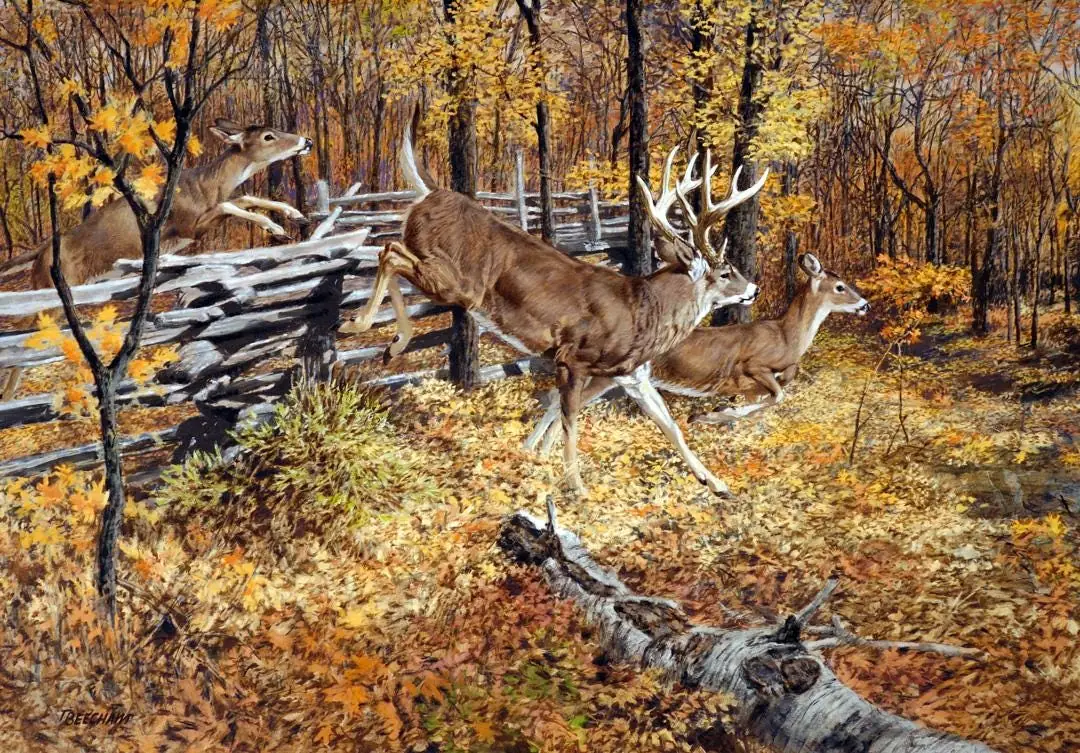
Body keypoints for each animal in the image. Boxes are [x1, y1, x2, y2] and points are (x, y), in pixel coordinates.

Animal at [0, 119, 312, 401]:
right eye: (268, 136)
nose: (306, 141)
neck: (206, 186)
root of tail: (40, 253)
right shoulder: (189, 226)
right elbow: (231, 203)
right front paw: (275, 227)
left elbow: (244, 197)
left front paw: (294, 215)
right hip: (51, 289)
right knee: (24, 336)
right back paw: (9, 395)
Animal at [341, 124, 767, 498]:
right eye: (726, 271)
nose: (754, 289)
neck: (644, 312)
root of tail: (430, 193)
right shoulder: (572, 357)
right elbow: (569, 418)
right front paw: (575, 484)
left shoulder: (630, 374)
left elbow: (670, 426)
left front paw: (716, 483)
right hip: (458, 284)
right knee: (390, 252)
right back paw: (365, 328)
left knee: (391, 252)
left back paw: (390, 343)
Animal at [524, 252, 870, 453]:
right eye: (840, 287)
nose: (865, 305)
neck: (788, 336)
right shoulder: (753, 366)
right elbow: (776, 397)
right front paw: (709, 414)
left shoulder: (753, 390)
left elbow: (762, 412)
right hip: (610, 375)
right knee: (563, 400)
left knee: (558, 398)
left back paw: (535, 451)